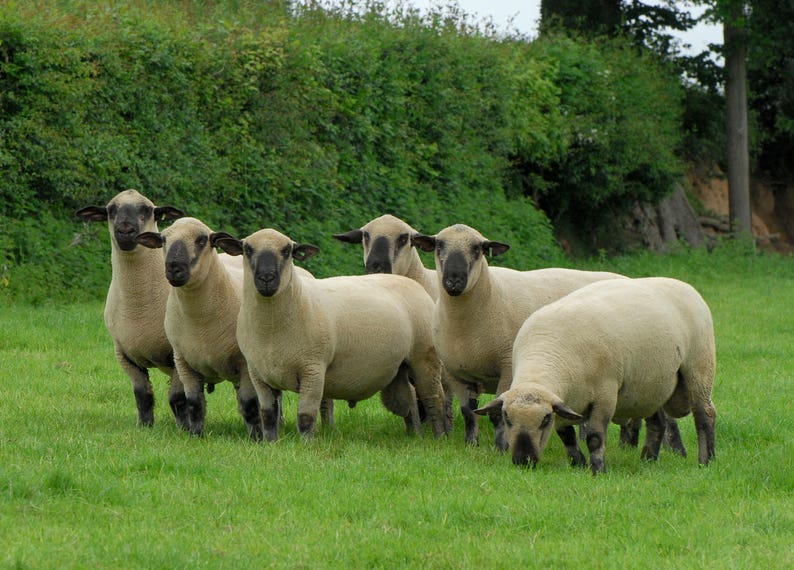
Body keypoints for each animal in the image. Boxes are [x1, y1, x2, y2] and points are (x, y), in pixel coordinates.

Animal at [75, 190, 185, 426]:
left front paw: (183, 427)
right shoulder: (123, 353)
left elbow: (177, 397)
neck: (138, 306)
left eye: (147, 210)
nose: (125, 230)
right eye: (111, 210)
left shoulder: (178, 352)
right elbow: (142, 395)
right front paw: (145, 427)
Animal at [213, 227, 446, 440]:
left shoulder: (313, 369)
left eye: (287, 250)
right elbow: (268, 415)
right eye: (248, 249)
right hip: (398, 368)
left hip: (424, 357)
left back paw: (438, 438)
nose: (266, 278)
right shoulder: (258, 373)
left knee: (433, 398)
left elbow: (305, 416)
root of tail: (412, 283)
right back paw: (415, 435)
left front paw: (306, 445)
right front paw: (271, 444)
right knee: (408, 400)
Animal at [408, 222, 624, 448]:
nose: (454, 282)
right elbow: (468, 412)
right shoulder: (455, 372)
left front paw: (501, 447)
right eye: (439, 246)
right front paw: (471, 444)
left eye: (477, 249)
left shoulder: (507, 368)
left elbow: (497, 414)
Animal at [474, 276, 716, 470]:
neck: (545, 354)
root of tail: (685, 285)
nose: (523, 461)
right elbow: (567, 436)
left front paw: (597, 469)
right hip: (651, 384)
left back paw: (706, 462)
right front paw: (578, 464)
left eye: (545, 420)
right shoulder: (566, 399)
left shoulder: (604, 395)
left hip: (700, 367)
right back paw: (648, 460)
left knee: (705, 415)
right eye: (506, 417)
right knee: (657, 422)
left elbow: (594, 438)